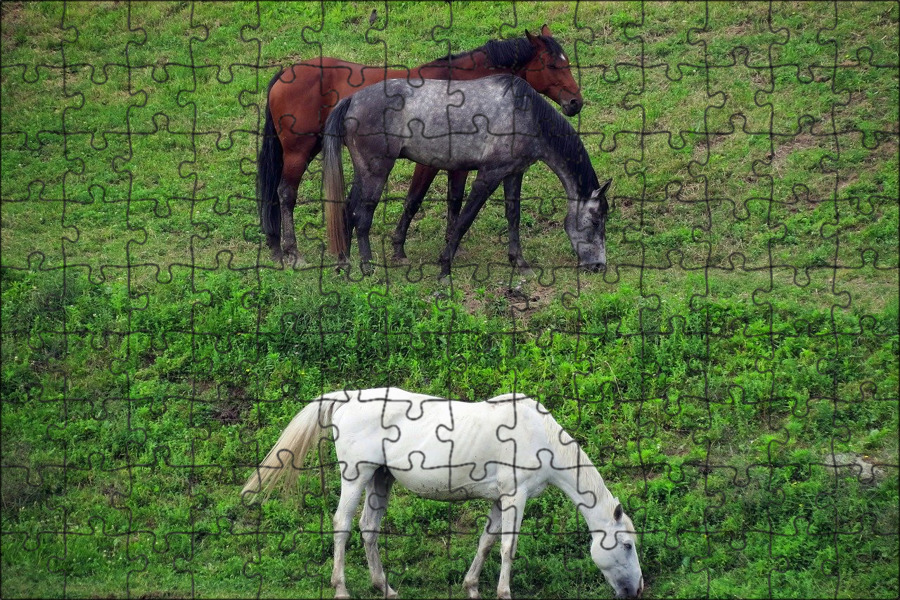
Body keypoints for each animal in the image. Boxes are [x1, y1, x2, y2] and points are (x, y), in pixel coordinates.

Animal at [243, 390, 644, 600]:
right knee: (342, 524)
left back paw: (385, 588)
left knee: (368, 528)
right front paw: (503, 593)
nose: (637, 589)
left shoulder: (499, 500)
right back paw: (341, 589)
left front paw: (472, 588)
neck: (537, 434)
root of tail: (346, 398)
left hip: (380, 480)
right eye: (626, 545)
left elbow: (486, 542)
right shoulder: (515, 498)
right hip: (356, 475)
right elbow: (507, 548)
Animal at [260, 24, 584, 262]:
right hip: (299, 151)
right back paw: (292, 251)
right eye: (553, 64)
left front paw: (450, 243)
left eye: (566, 62)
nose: (575, 102)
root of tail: (287, 72)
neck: (460, 87)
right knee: (285, 194)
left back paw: (279, 248)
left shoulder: (458, 165)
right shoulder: (429, 164)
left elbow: (454, 200)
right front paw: (399, 248)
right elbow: (414, 200)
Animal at [320, 74, 608, 278]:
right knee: (362, 216)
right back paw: (367, 267)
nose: (599, 266)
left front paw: (520, 261)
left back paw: (344, 263)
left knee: (347, 211)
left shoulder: (513, 174)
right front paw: (445, 267)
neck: (524, 113)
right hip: (376, 171)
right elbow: (464, 220)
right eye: (596, 221)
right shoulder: (488, 175)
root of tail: (352, 100)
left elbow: (513, 217)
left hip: (364, 172)